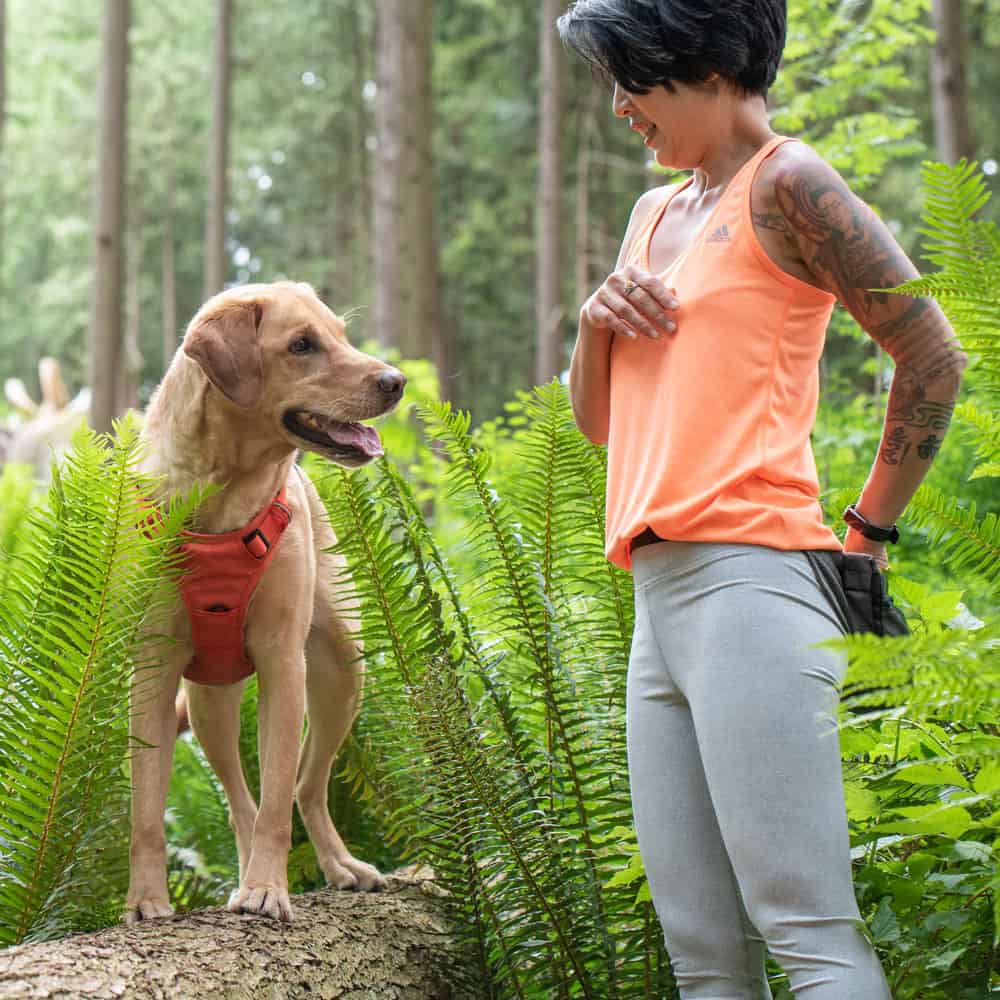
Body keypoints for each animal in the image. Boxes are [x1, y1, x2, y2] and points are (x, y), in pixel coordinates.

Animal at [126, 280, 402, 920]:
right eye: (301, 345)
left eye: (342, 336)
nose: (396, 380)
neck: (223, 500)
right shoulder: (151, 673)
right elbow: (147, 809)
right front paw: (145, 900)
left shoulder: (282, 662)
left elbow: (278, 794)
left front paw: (269, 888)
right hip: (209, 706)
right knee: (238, 800)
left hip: (342, 672)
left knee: (306, 786)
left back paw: (338, 864)